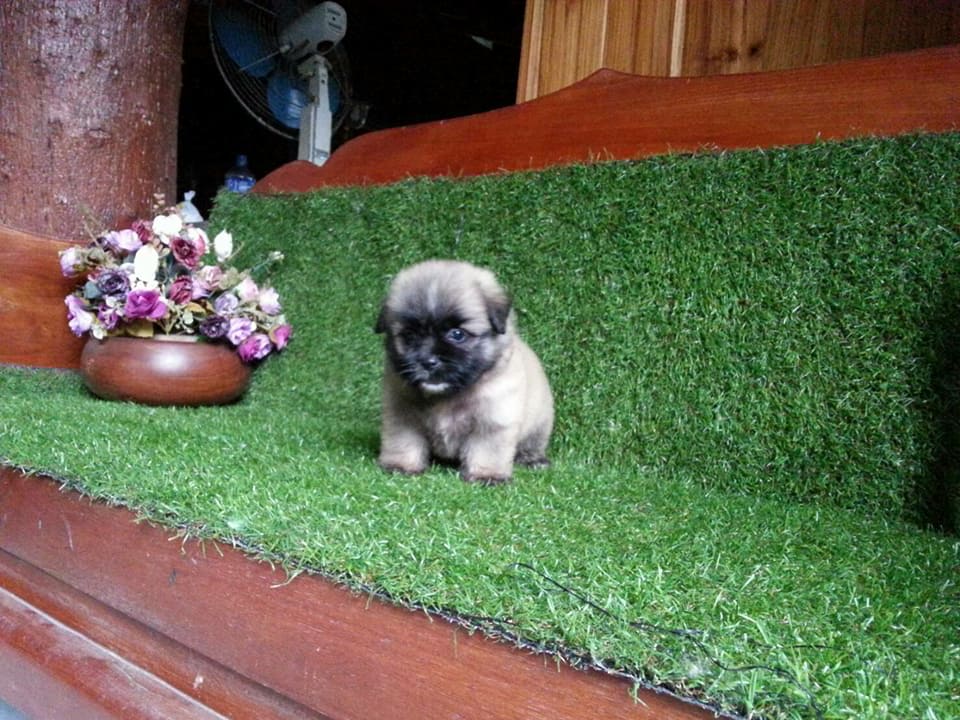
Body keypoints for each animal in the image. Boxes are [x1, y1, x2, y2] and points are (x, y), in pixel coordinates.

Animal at [375, 259, 553, 484]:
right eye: (409, 335)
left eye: (457, 334)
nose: (428, 361)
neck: (447, 396)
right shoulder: (402, 416)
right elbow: (403, 443)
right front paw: (401, 466)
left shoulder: (492, 422)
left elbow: (487, 451)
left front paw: (487, 475)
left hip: (539, 424)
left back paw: (533, 460)